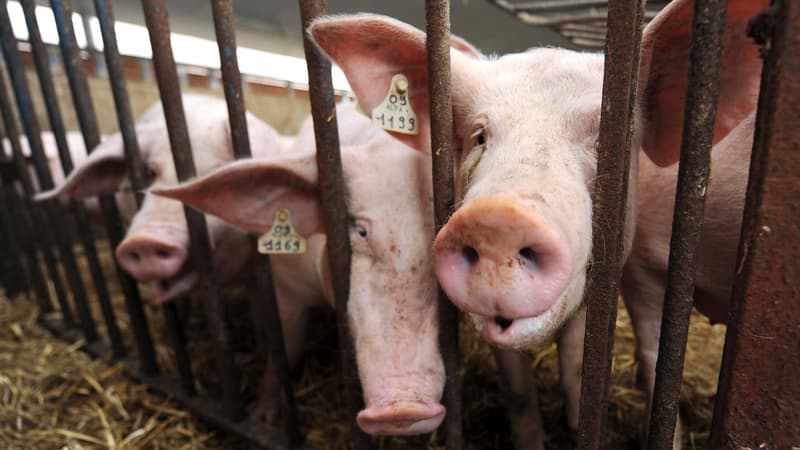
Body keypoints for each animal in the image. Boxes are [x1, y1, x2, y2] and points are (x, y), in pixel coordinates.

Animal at [306, 0, 764, 444]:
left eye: (604, 141)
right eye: (478, 137)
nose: (497, 219)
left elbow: (584, 364)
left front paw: (579, 423)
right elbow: (519, 391)